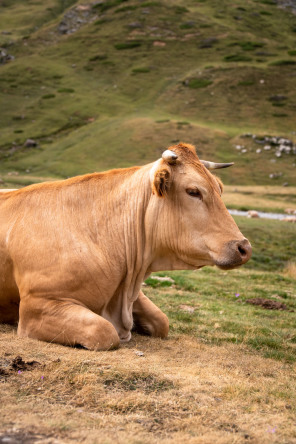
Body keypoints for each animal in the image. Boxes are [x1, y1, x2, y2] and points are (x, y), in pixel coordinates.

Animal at [0, 142, 252, 350]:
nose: (244, 248)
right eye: (193, 191)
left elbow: (162, 321)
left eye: (220, 189)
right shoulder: (37, 305)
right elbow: (103, 331)